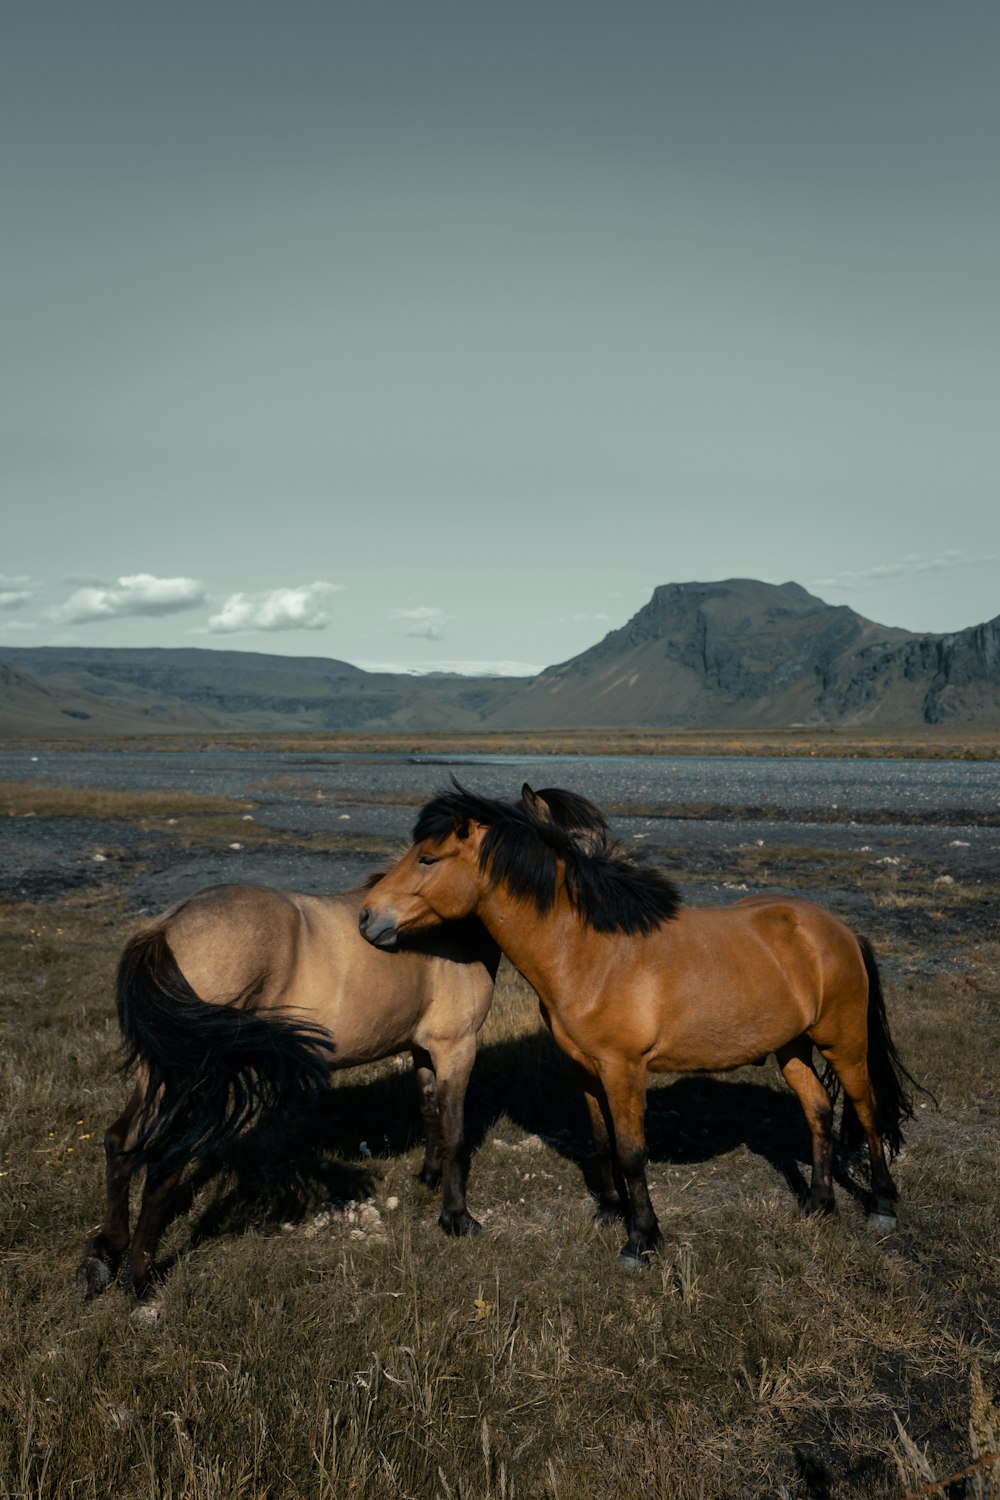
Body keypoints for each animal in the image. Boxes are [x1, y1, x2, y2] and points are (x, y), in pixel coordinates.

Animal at [78, 882, 500, 1296]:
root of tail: (164, 928)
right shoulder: (456, 1047)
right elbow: (455, 1133)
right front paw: (457, 1218)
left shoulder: (423, 1049)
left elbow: (431, 1112)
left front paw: (430, 1176)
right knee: (164, 1165)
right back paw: (139, 1277)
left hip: (161, 1074)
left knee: (121, 1142)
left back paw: (108, 1251)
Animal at [358, 786, 923, 1266]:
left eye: (428, 859)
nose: (366, 917)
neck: (590, 953)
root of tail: (839, 930)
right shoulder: (586, 1069)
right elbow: (601, 1140)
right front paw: (611, 1212)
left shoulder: (624, 1069)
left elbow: (632, 1153)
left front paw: (642, 1240)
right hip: (793, 1048)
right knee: (818, 1112)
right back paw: (820, 1202)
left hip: (844, 1044)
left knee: (867, 1111)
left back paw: (881, 1205)